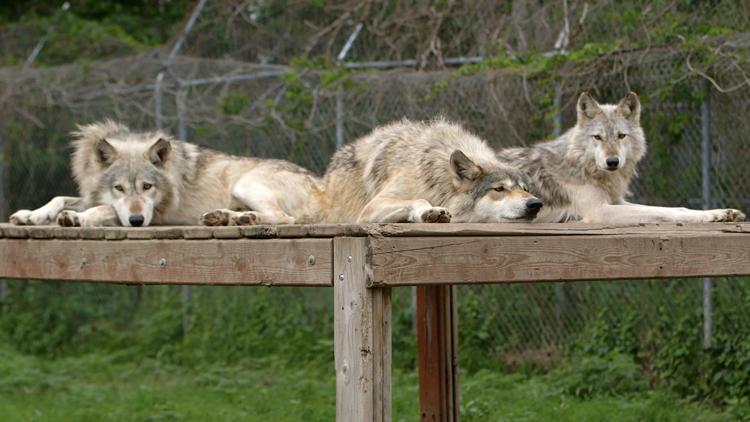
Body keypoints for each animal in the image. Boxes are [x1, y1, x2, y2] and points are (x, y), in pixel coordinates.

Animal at [9, 120, 320, 226]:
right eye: (119, 188)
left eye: (148, 187)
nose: (136, 221)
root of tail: (319, 184)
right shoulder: (95, 196)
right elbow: (60, 198)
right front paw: (31, 215)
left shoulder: (156, 214)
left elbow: (103, 210)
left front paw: (77, 218)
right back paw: (228, 218)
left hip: (245, 185)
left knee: (286, 219)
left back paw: (243, 219)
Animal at [312, 118, 548, 224]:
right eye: (499, 189)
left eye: (525, 189)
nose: (535, 204)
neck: (436, 179)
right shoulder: (371, 208)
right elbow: (418, 200)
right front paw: (431, 212)